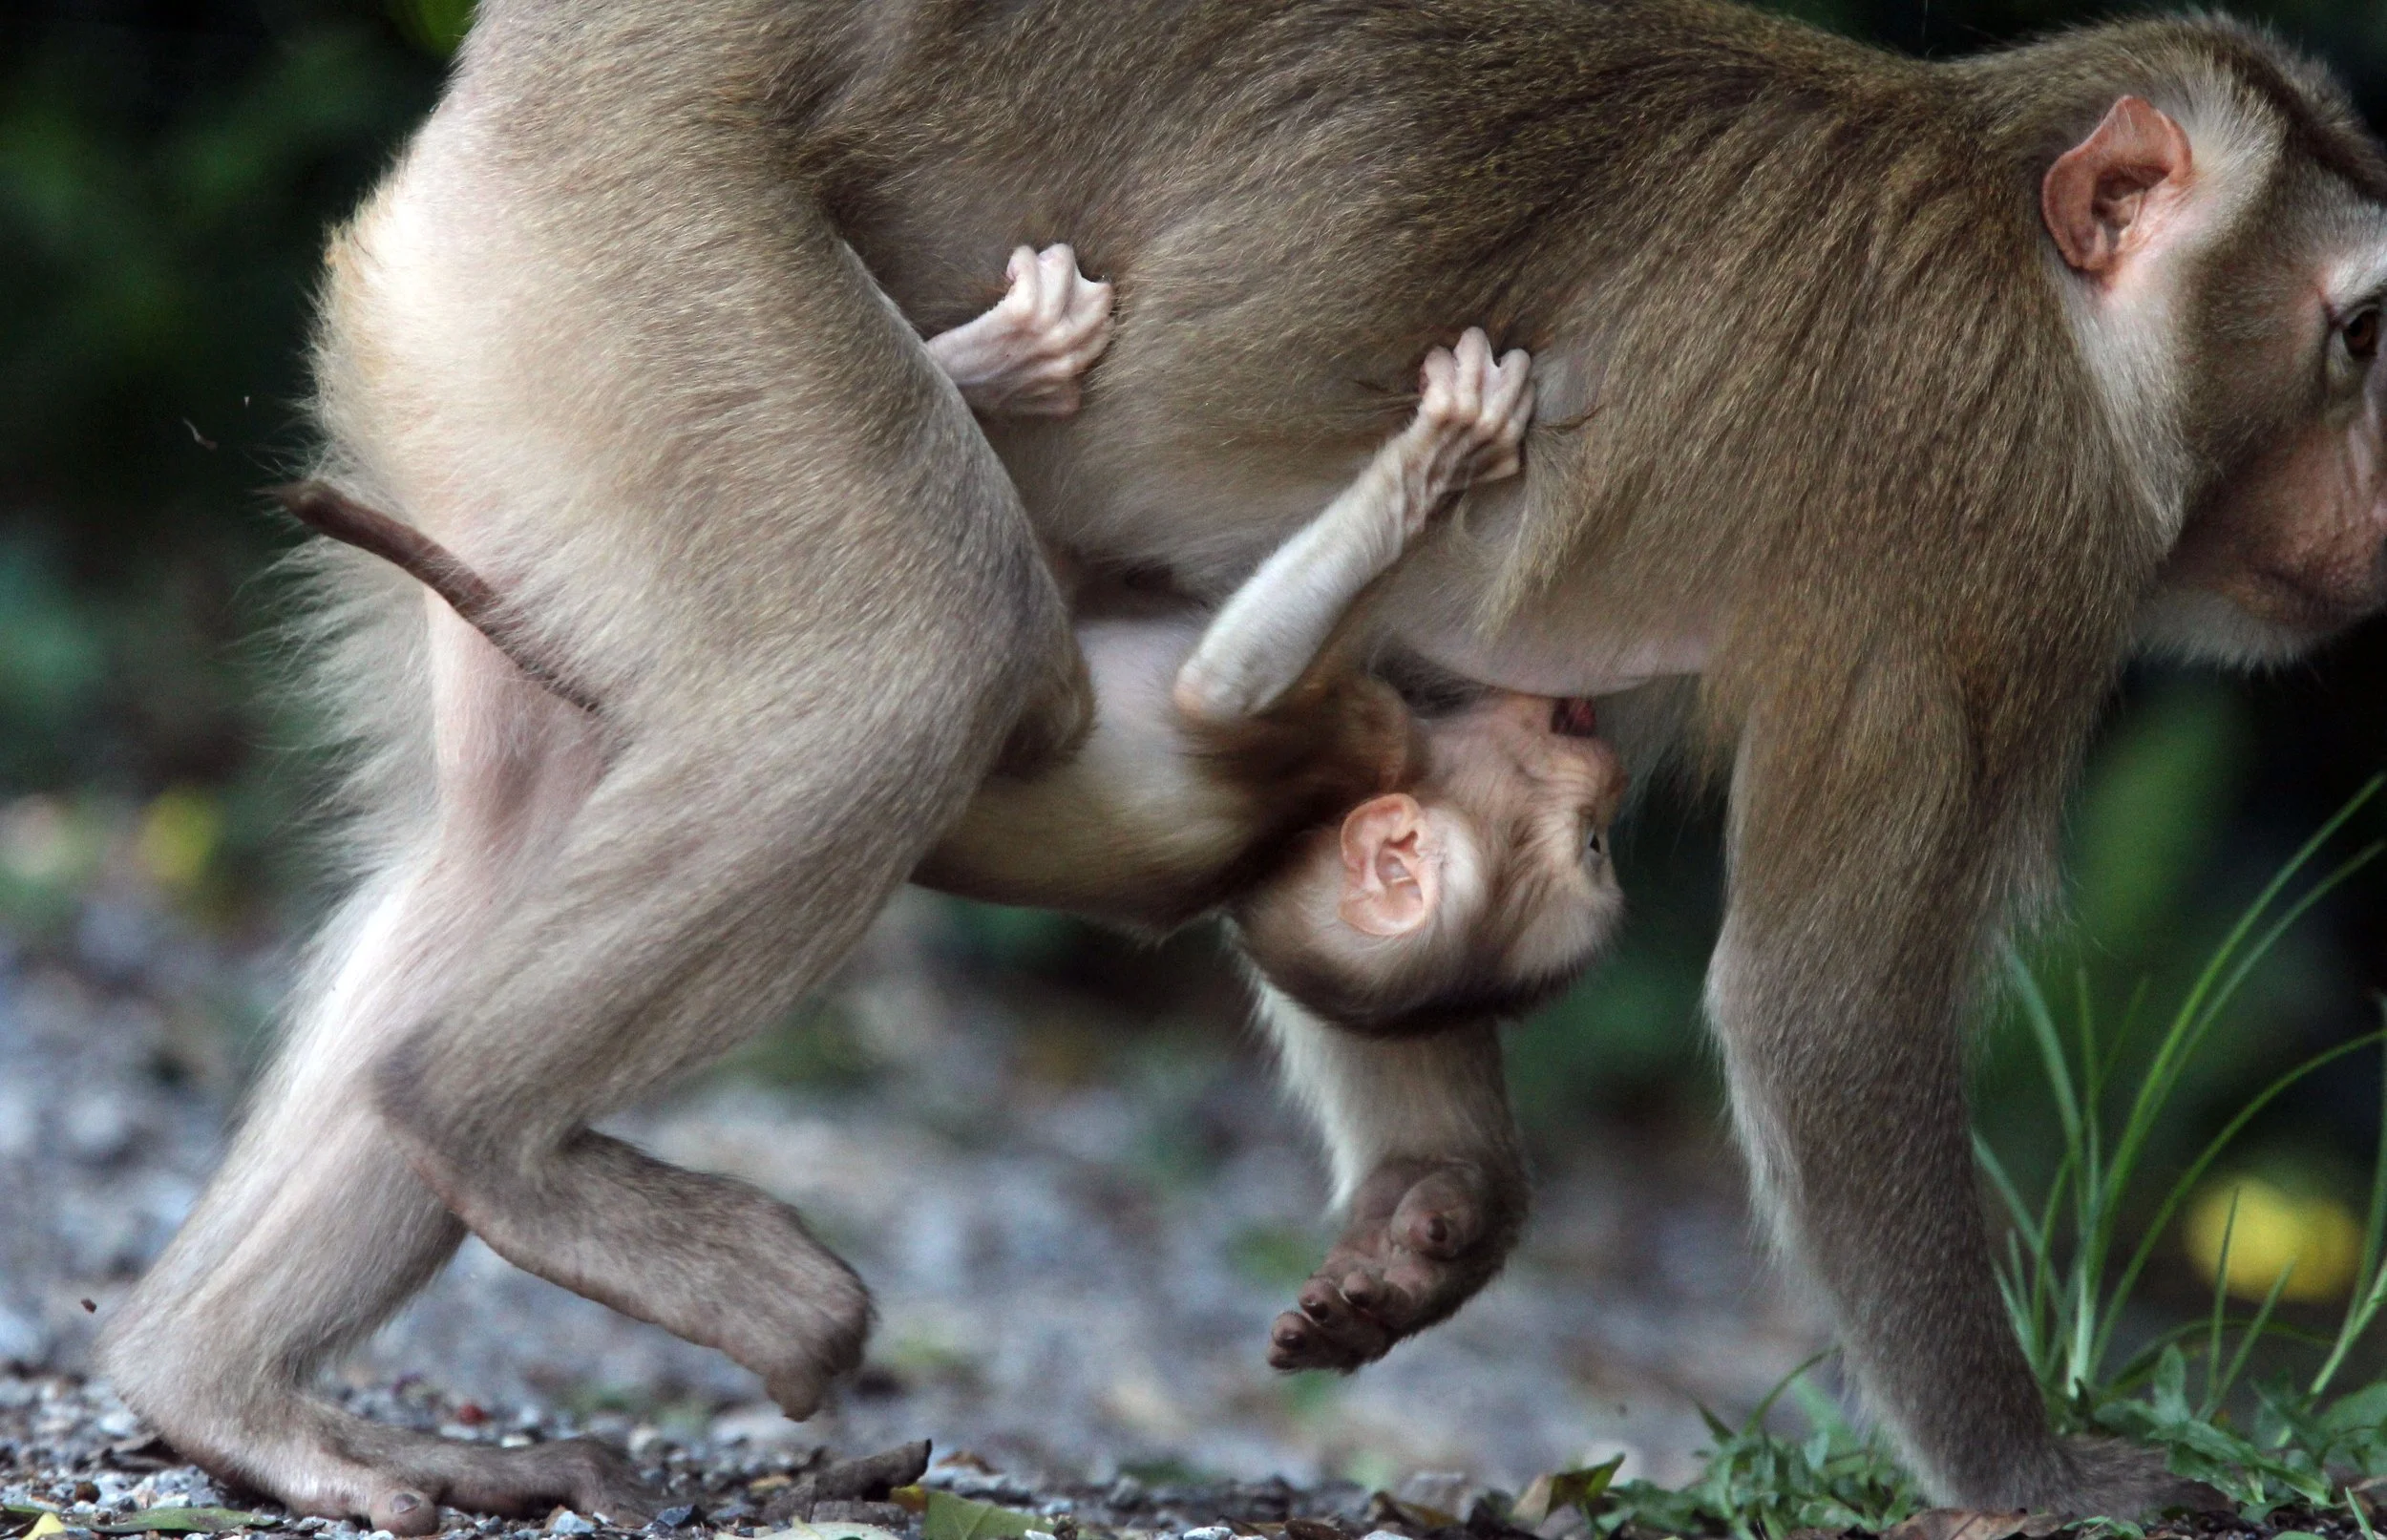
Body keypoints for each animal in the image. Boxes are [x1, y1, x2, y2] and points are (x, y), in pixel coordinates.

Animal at [100, 0, 2387, 1528]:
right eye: (2360, 335)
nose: (2385, 493)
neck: (2059, 315)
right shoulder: (1993, 541)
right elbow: (1824, 1009)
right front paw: (2044, 1469)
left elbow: (1395, 752)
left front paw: (1425, 1217)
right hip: (644, 248)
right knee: (908, 669)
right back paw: (482, 1126)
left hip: (499, 348)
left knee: (506, 834)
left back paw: (226, 1390)